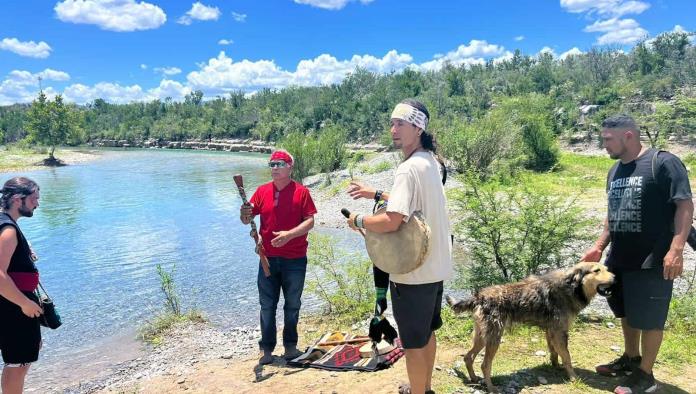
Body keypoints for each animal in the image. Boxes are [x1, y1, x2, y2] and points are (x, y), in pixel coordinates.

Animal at [446, 260, 616, 392]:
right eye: (597, 270)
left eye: (606, 268)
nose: (615, 278)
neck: (572, 287)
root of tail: (480, 296)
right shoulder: (560, 331)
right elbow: (567, 356)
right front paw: (573, 377)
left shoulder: (551, 331)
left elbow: (555, 352)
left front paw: (555, 366)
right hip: (494, 337)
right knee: (484, 364)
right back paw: (491, 388)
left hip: (482, 336)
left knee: (468, 357)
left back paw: (474, 378)